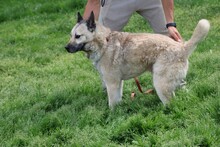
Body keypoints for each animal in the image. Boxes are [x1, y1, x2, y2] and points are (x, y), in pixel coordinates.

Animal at [65, 11, 210, 108]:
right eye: (71, 35)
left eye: (78, 36)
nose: (66, 48)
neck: (104, 43)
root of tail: (182, 47)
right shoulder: (118, 83)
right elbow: (118, 100)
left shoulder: (112, 83)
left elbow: (112, 104)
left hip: (160, 83)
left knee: (171, 103)